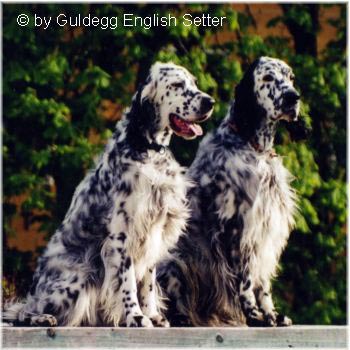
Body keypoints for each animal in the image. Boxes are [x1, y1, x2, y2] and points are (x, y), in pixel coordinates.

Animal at [4, 61, 215, 326]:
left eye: (194, 83)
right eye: (177, 85)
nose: (210, 102)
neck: (147, 149)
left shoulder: (154, 228)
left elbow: (147, 281)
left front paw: (152, 315)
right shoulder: (122, 234)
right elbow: (127, 281)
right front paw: (135, 316)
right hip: (78, 277)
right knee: (24, 311)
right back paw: (41, 318)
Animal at [157, 57, 300, 328]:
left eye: (290, 77)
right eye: (268, 78)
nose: (293, 97)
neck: (253, 147)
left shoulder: (265, 229)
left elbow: (262, 282)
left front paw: (272, 314)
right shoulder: (237, 228)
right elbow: (245, 281)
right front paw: (254, 316)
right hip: (173, 263)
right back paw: (180, 318)